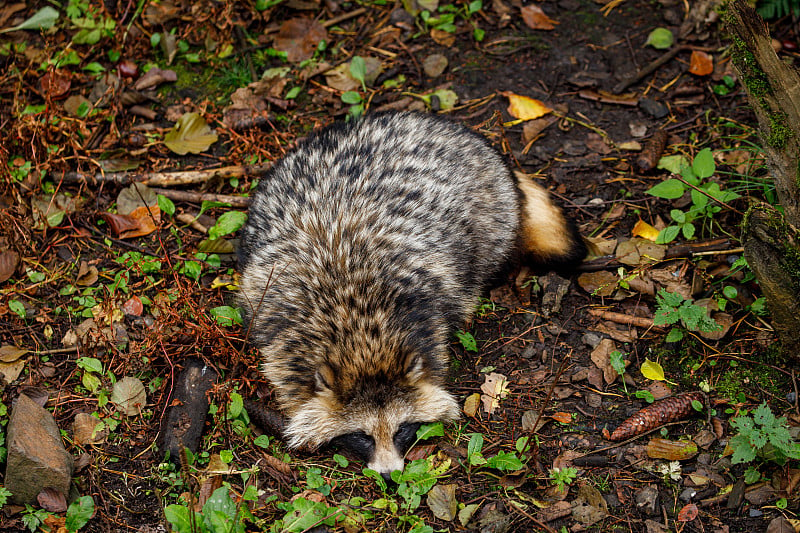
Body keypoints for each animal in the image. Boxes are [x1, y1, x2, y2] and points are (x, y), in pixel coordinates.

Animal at [239, 110, 588, 476]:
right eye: (361, 436)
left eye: (402, 429)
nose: (390, 475)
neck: (358, 328)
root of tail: (446, 125)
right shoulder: (266, 304)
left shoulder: (433, 298)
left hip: (494, 221)